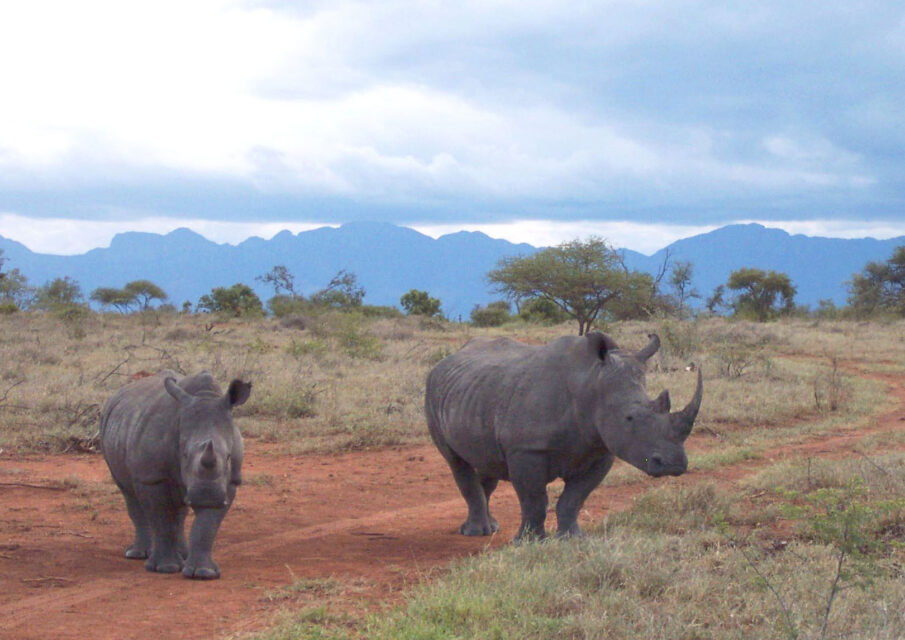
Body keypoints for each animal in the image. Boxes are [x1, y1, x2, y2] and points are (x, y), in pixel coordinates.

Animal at [100, 370, 251, 579]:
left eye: (228, 457)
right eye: (184, 455)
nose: (206, 494)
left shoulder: (229, 483)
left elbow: (207, 527)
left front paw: (203, 573)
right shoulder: (152, 478)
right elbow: (161, 519)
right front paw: (165, 568)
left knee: (179, 510)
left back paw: (183, 554)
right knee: (130, 495)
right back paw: (137, 554)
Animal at [425, 332, 703, 541]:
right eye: (629, 418)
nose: (674, 464)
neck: (590, 385)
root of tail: (448, 359)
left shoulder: (600, 450)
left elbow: (574, 498)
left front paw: (572, 539)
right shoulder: (527, 448)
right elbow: (534, 499)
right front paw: (529, 543)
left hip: (476, 392)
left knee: (486, 461)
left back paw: (490, 527)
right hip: (433, 390)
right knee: (456, 461)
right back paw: (476, 533)